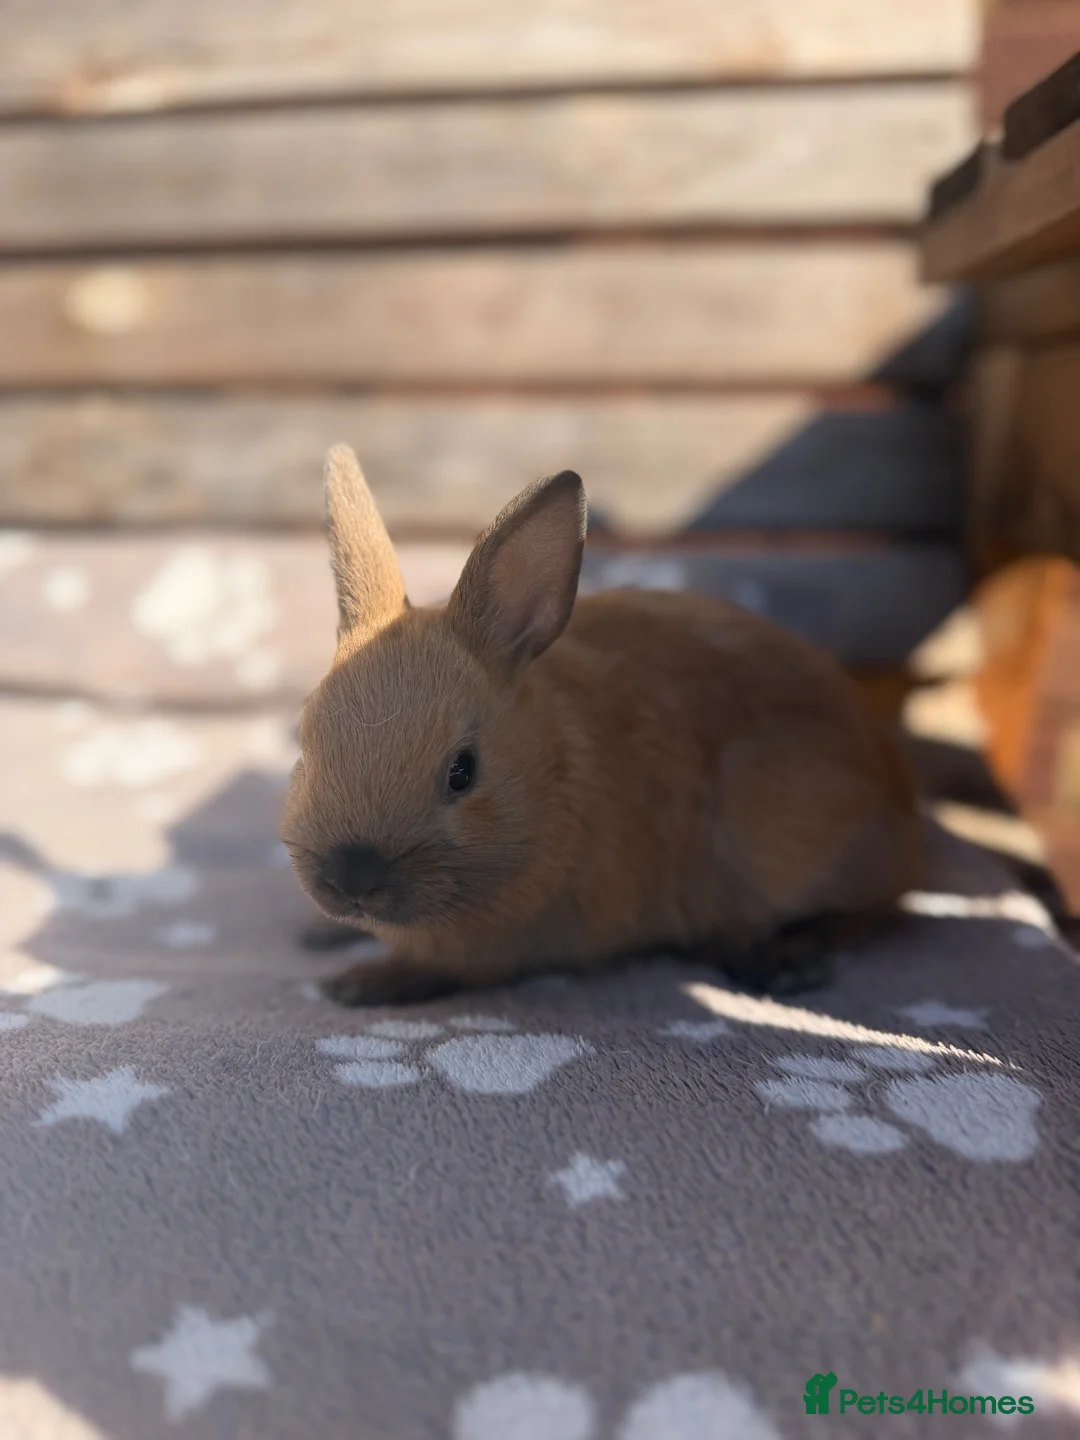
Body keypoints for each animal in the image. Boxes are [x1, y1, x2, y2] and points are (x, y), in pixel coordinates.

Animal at [281, 445, 924, 1008]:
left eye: (463, 771)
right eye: (307, 744)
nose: (352, 877)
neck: (551, 778)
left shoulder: (505, 939)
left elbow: (449, 968)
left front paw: (363, 983)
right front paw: (324, 936)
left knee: (880, 913)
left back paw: (782, 962)